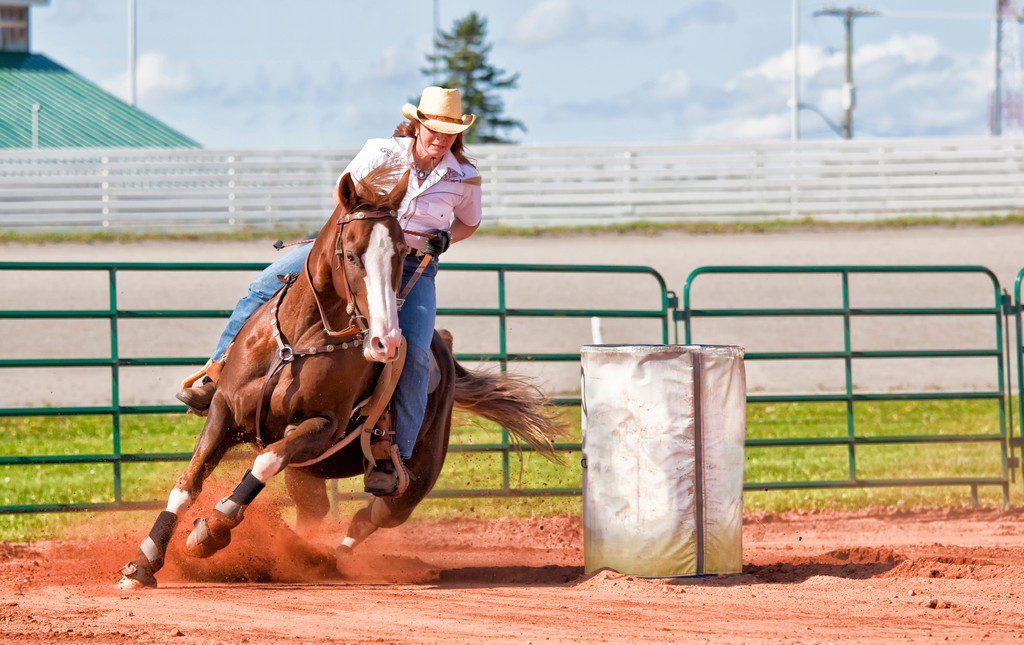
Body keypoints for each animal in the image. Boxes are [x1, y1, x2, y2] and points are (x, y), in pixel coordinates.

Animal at [120, 162, 569, 589]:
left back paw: (327, 559)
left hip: (413, 481)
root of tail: (442, 344)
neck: (296, 342)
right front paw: (144, 562)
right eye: (351, 255)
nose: (386, 340)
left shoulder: (321, 427)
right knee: (317, 512)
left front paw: (211, 531)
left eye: (401, 252)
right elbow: (188, 482)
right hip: (308, 476)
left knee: (372, 516)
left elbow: (266, 459)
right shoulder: (224, 412)